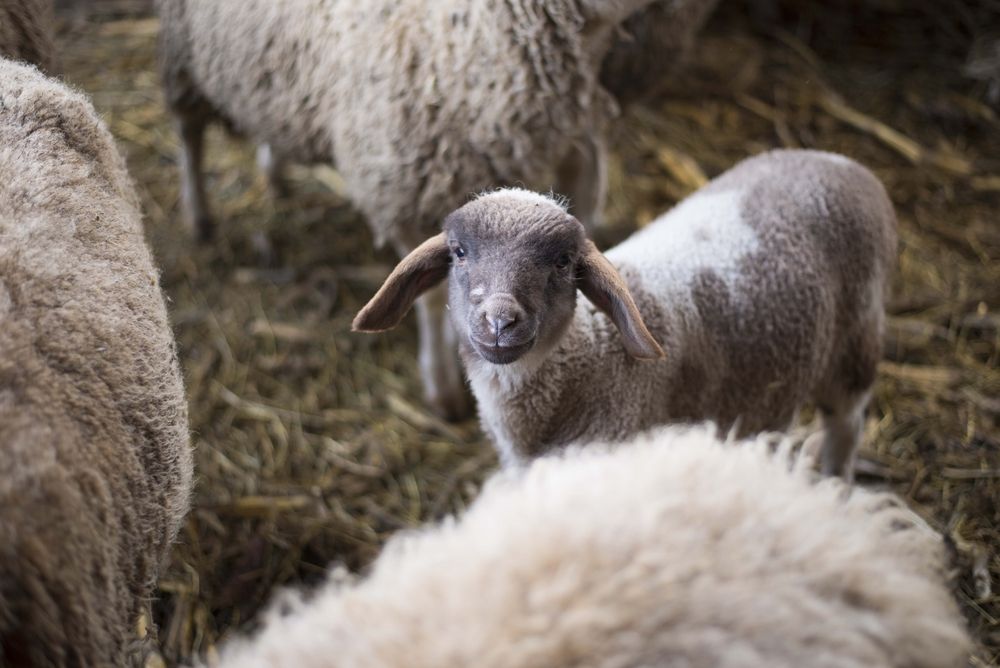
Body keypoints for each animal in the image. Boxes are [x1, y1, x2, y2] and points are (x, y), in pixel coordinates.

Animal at [154, 0, 712, 420]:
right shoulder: (406, 189)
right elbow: (424, 296)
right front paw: (442, 390)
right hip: (182, 59)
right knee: (189, 135)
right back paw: (200, 218)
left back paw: (274, 175)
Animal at [358, 149, 900, 478]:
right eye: (459, 252)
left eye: (562, 262)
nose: (499, 321)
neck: (586, 359)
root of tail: (845, 163)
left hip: (855, 346)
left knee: (848, 423)